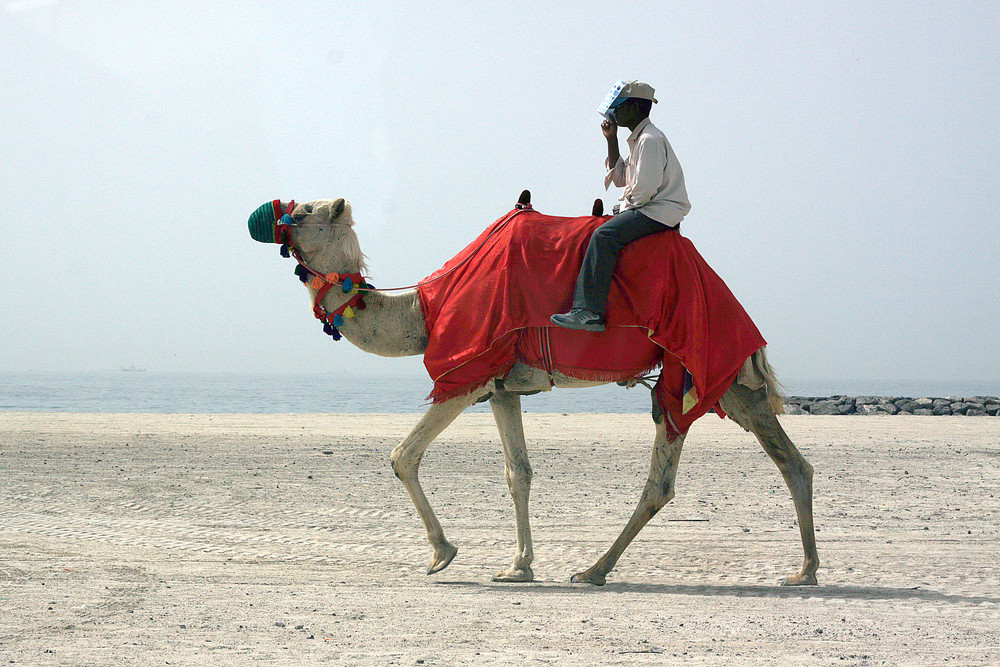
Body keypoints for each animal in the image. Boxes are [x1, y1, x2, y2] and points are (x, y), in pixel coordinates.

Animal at [246, 197, 816, 584]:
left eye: (303, 211)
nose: (263, 216)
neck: (425, 312)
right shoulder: (503, 387)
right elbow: (517, 472)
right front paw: (518, 565)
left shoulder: (467, 371)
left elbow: (402, 455)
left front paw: (441, 554)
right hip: (708, 381)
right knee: (771, 464)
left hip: (708, 368)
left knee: (696, 472)